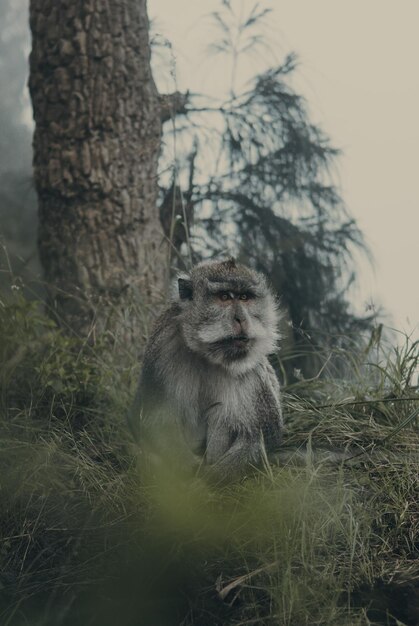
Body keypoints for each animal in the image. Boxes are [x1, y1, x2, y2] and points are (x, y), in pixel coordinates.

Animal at [130, 256, 284, 480]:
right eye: (224, 297)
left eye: (245, 297)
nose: (242, 319)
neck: (207, 353)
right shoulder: (161, 346)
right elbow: (153, 419)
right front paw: (186, 469)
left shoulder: (252, 367)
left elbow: (259, 434)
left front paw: (208, 478)